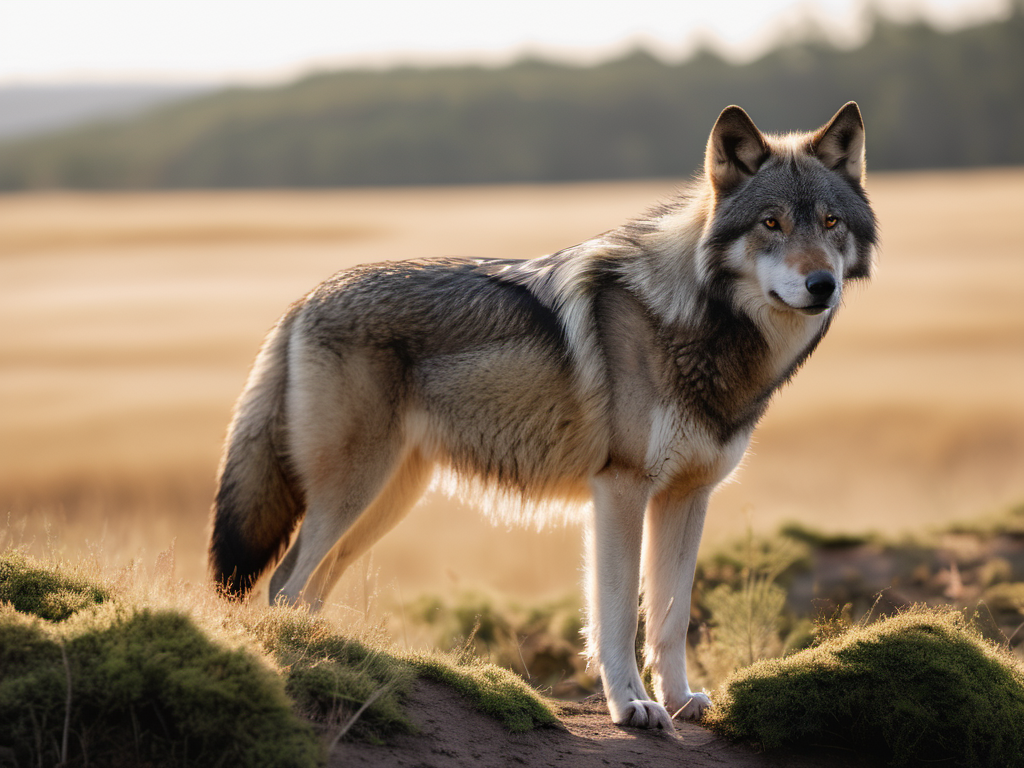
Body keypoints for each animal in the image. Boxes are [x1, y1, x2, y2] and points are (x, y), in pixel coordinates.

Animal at [209, 103, 880, 733]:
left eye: (830, 223)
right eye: (771, 223)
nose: (821, 284)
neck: (696, 321)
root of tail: (303, 300)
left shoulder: (688, 496)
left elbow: (670, 616)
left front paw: (680, 701)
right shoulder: (621, 489)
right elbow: (617, 615)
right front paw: (632, 707)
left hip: (383, 504)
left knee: (307, 590)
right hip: (351, 496)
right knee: (284, 585)